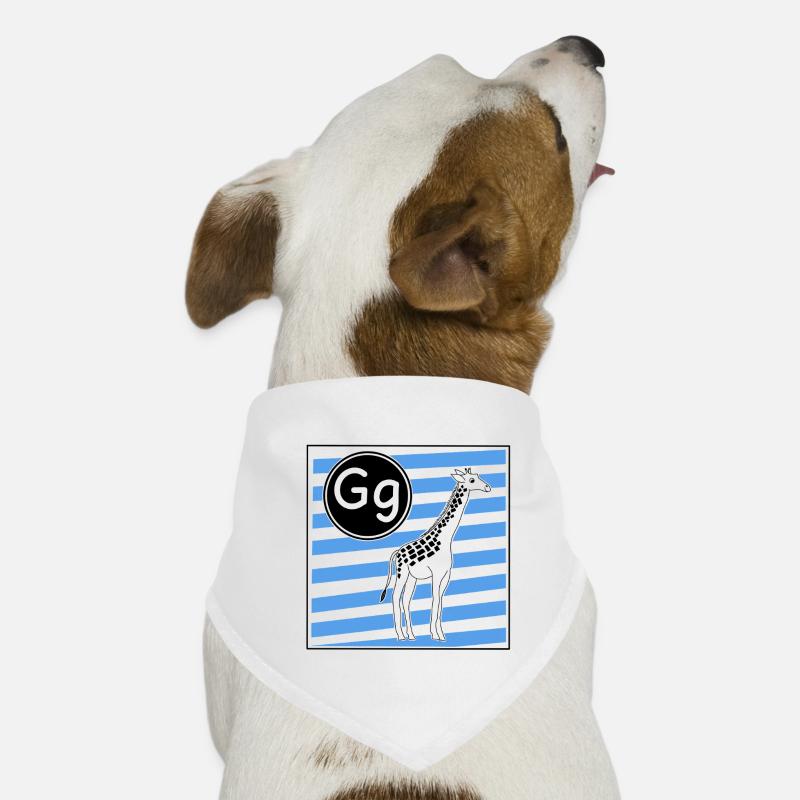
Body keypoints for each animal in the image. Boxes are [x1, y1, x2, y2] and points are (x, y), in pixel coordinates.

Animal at [379, 467, 491, 641]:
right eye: (472, 480)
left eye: (478, 476)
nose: (488, 487)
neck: (445, 539)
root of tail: (397, 553)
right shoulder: (437, 574)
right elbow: (435, 600)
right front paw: (435, 634)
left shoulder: (446, 575)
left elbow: (440, 601)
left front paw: (441, 634)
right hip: (401, 574)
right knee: (395, 597)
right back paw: (400, 635)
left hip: (412, 578)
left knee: (405, 600)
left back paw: (411, 635)